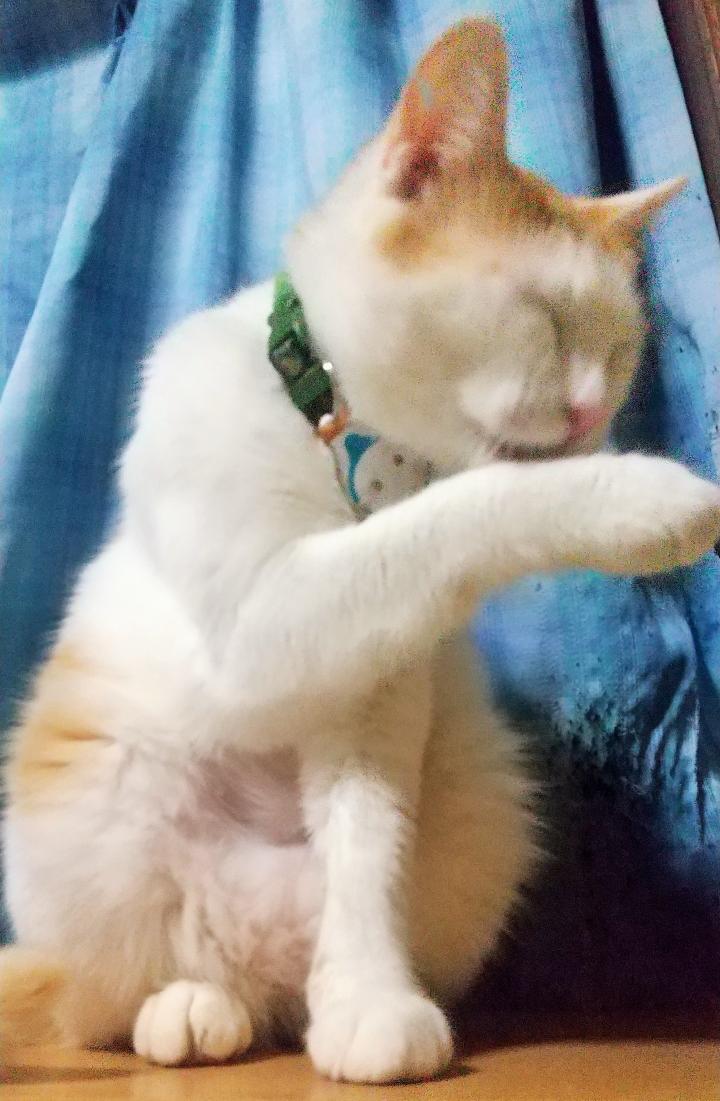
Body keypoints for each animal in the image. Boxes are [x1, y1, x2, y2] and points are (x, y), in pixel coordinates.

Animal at [2, 18, 719, 1085]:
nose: (596, 414)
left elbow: (366, 849)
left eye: (624, 350)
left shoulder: (376, 694)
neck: (347, 447)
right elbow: (473, 504)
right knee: (113, 996)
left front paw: (369, 998)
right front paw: (648, 496)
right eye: (547, 318)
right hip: (93, 829)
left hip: (481, 809)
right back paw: (187, 1006)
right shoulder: (261, 627)